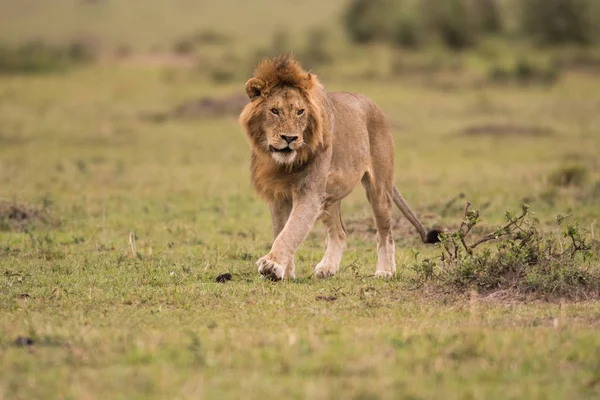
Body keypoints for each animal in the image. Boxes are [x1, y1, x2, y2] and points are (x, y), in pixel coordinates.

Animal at [239, 55, 440, 282]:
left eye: (300, 112)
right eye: (274, 110)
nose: (290, 138)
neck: (283, 163)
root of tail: (373, 104)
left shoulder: (310, 193)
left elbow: (291, 231)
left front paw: (272, 265)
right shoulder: (278, 193)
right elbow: (281, 230)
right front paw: (286, 272)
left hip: (379, 188)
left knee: (385, 233)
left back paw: (386, 271)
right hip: (330, 196)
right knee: (340, 232)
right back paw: (328, 268)